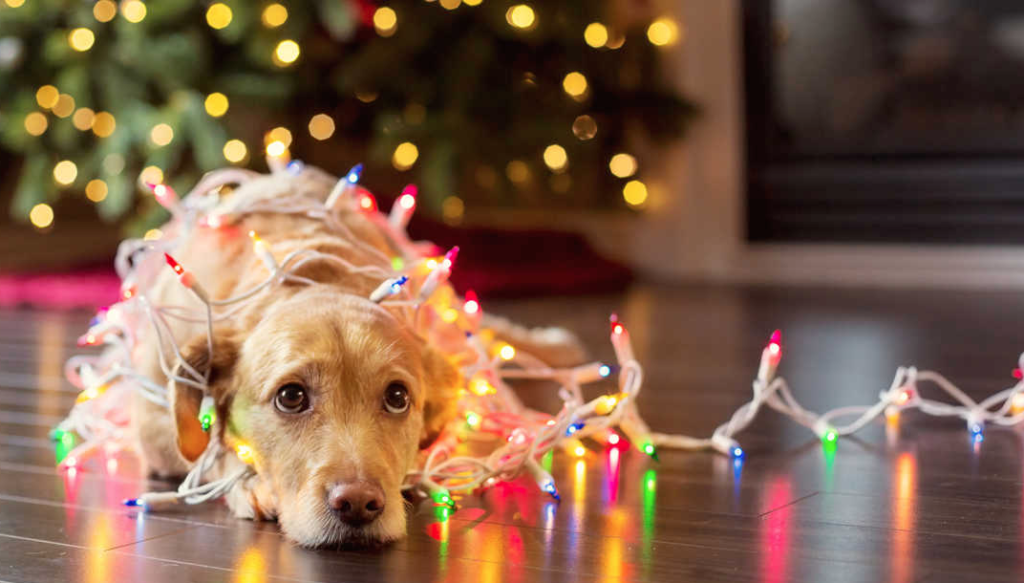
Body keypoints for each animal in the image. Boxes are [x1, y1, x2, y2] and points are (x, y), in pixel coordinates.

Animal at [133, 165, 585, 549]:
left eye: (398, 397)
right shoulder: (151, 420)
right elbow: (209, 449)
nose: (357, 504)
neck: (311, 276)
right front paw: (245, 481)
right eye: (290, 397)